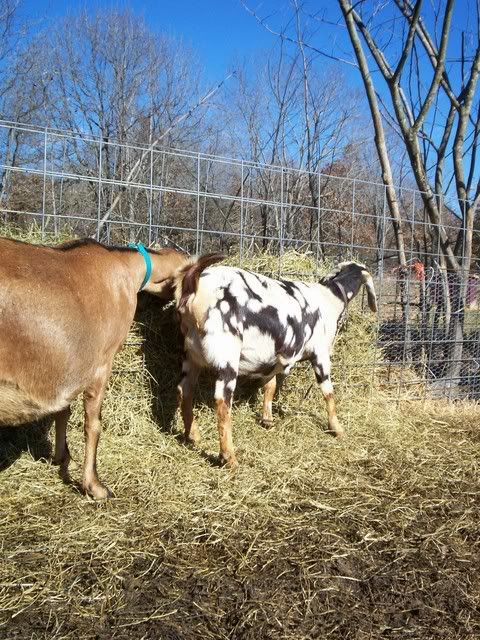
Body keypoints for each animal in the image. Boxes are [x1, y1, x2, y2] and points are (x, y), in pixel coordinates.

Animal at [0, 237, 188, 498]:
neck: (126, 266)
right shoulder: (101, 364)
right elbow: (93, 424)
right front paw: (95, 486)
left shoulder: (68, 366)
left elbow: (63, 411)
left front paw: (61, 457)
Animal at [174, 259, 377, 468]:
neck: (330, 297)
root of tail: (194, 287)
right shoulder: (320, 354)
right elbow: (328, 393)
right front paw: (337, 429)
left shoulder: (273, 357)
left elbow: (270, 386)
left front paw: (268, 420)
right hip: (226, 354)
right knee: (222, 402)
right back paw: (229, 458)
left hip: (191, 355)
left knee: (184, 390)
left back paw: (192, 436)